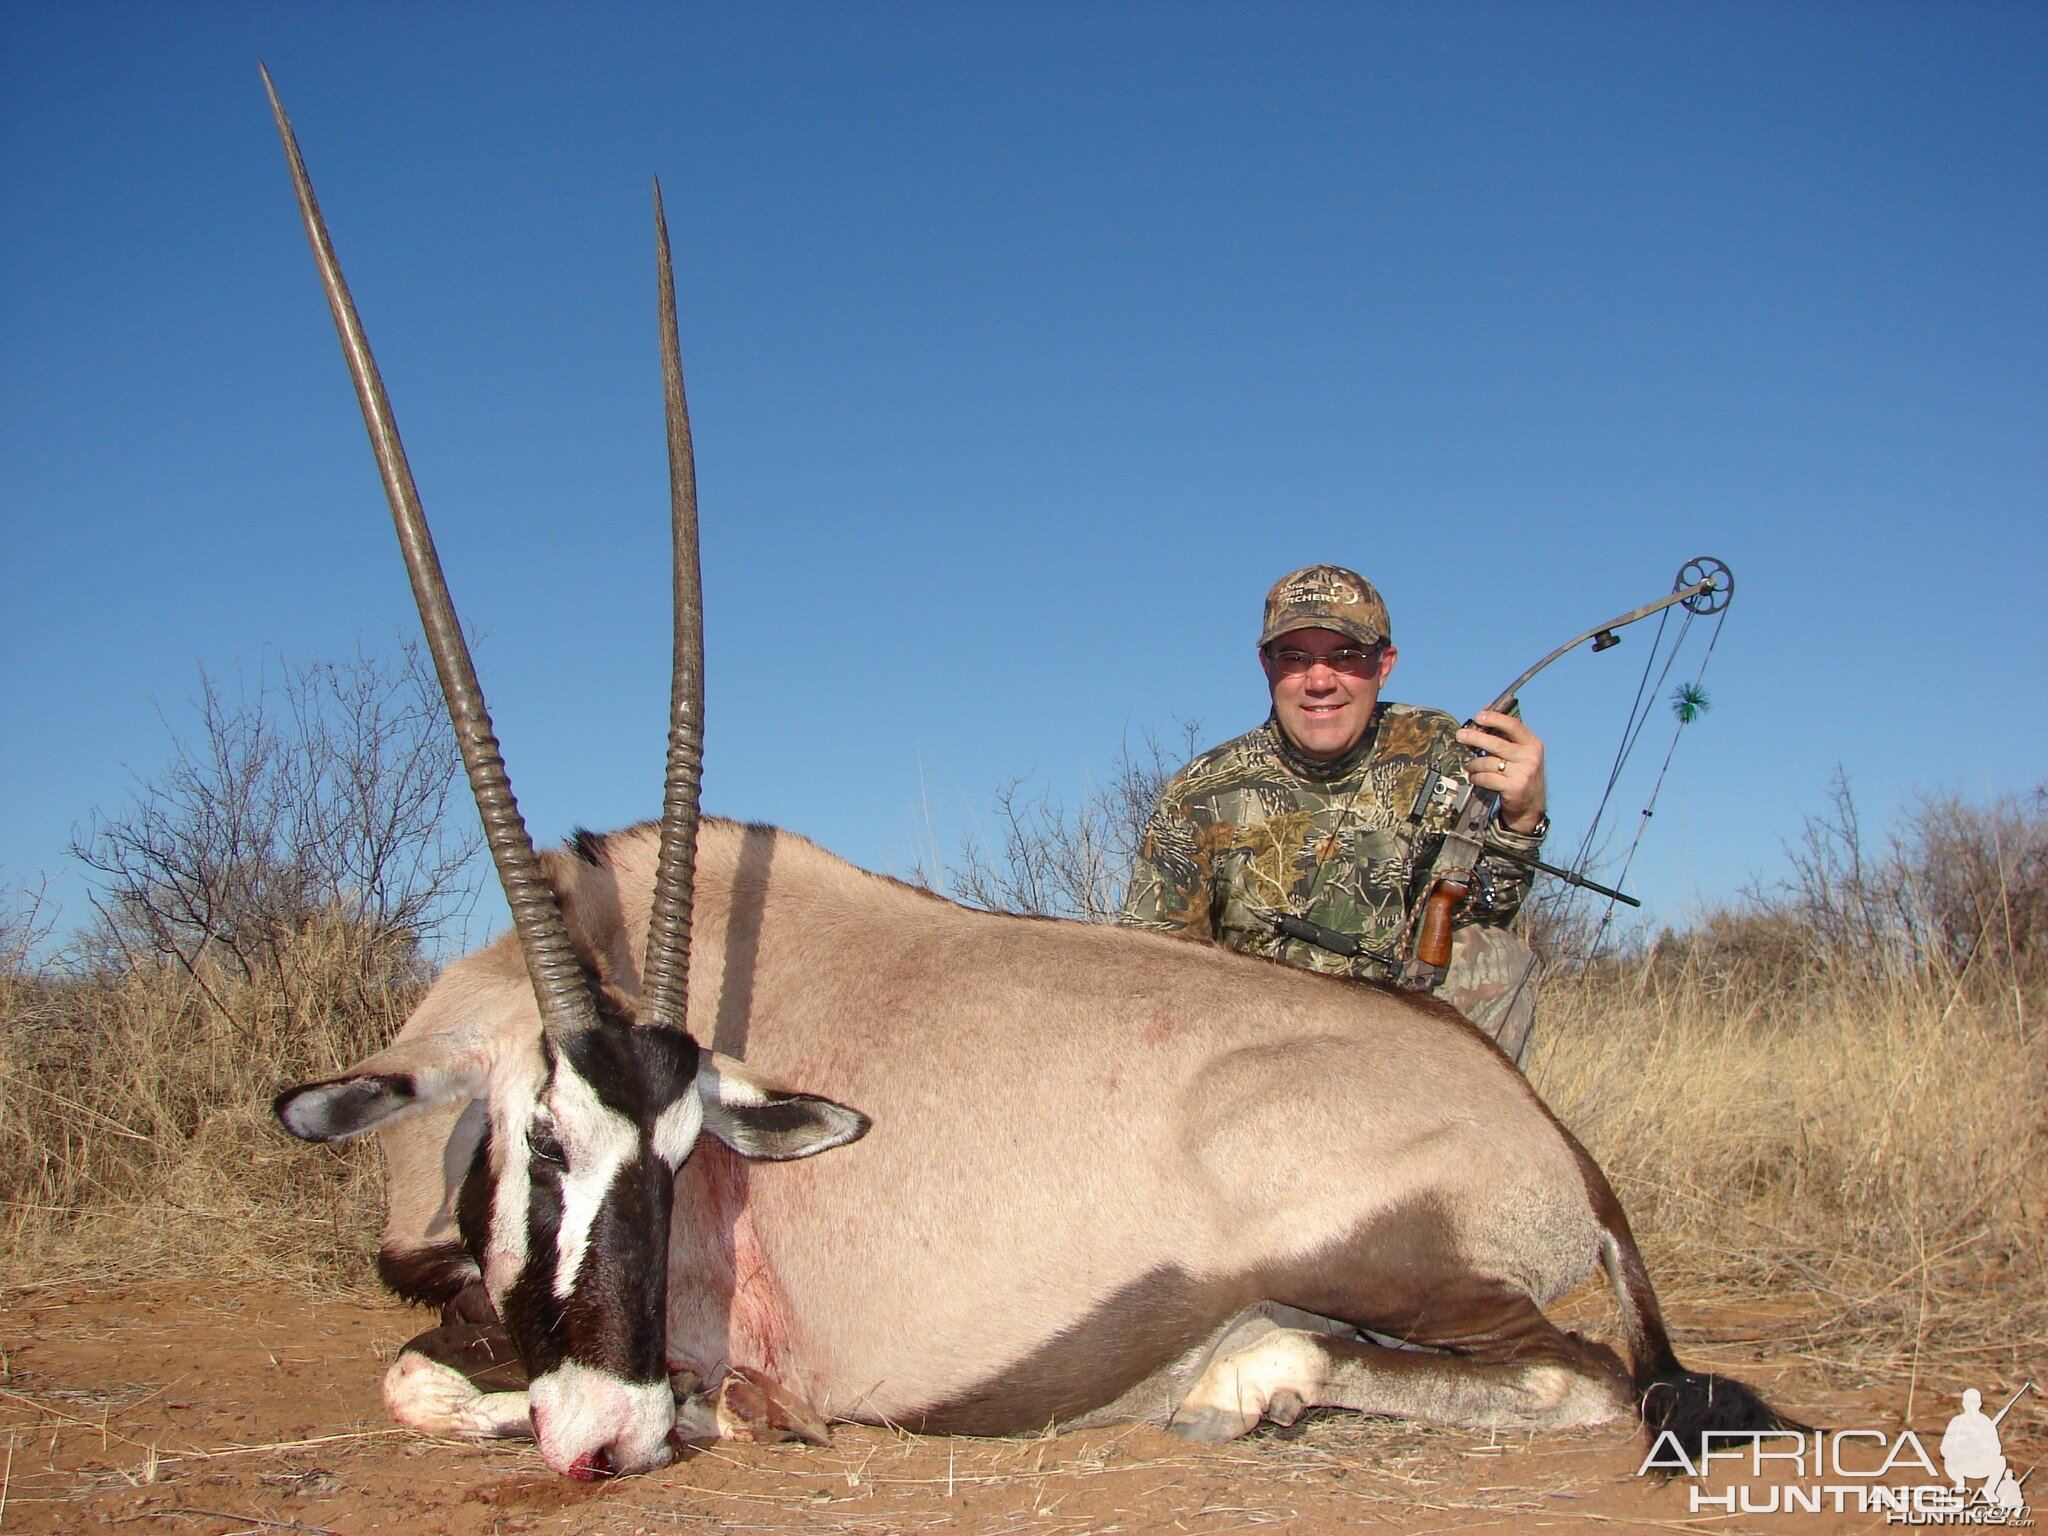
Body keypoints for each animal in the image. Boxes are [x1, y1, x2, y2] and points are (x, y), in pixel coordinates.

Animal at [264, 78, 1802, 1482]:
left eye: (682, 1151)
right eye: (539, 1143)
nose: (612, 1433)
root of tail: (1550, 1137)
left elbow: (421, 1376)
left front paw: (719, 1406)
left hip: (1397, 1265)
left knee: (1582, 1376)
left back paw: (1248, 1380)